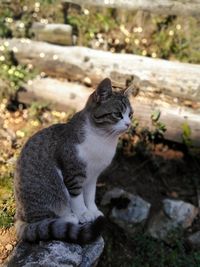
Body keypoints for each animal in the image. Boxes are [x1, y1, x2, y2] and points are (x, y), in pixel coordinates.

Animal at [14, 78, 133, 245]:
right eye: (117, 114)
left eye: (130, 114)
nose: (128, 124)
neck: (102, 139)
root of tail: (19, 215)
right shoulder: (73, 174)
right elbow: (77, 198)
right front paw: (83, 213)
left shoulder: (93, 176)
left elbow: (90, 195)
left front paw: (93, 210)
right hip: (51, 188)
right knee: (44, 220)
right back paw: (68, 218)